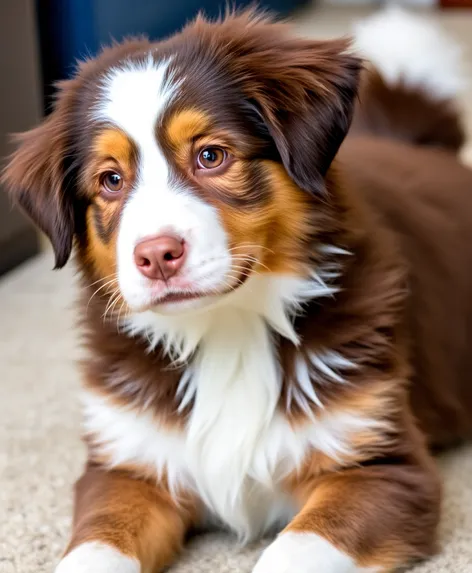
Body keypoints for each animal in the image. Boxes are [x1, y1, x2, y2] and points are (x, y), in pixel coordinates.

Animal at [2, 5, 472, 572]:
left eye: (211, 155)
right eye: (110, 180)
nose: (156, 256)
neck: (226, 329)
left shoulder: (382, 464)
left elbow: (292, 551)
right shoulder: (126, 466)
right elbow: (95, 549)